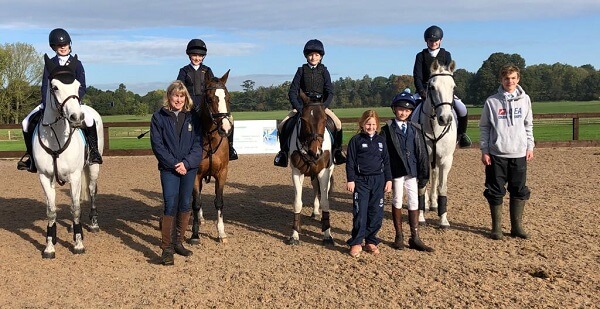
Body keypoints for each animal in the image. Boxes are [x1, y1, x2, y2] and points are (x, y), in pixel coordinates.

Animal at [33, 53, 103, 258]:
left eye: (77, 85)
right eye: (55, 87)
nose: (76, 118)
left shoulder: (74, 175)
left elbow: (76, 208)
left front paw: (78, 244)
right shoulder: (44, 177)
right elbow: (51, 211)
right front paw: (50, 245)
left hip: (93, 167)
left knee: (92, 191)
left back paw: (93, 224)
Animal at [286, 90, 332, 244]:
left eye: (324, 119)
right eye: (304, 120)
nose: (315, 151)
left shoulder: (323, 172)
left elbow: (325, 202)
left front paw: (327, 235)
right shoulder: (297, 172)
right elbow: (297, 203)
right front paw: (294, 234)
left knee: (321, 190)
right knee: (315, 188)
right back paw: (315, 212)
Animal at [414, 59, 458, 227]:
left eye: (453, 87)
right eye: (432, 87)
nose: (445, 119)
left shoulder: (445, 160)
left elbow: (442, 187)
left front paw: (443, 219)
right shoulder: (422, 158)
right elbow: (420, 187)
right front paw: (420, 216)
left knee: (434, 175)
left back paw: (433, 203)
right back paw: (427, 203)